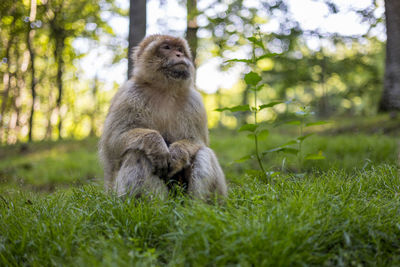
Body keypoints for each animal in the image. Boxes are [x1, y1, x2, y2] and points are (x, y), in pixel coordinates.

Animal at [98, 34, 227, 201]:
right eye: (166, 47)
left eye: (179, 49)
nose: (178, 55)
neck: (165, 89)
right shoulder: (128, 95)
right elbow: (112, 144)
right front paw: (156, 144)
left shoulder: (195, 102)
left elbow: (197, 141)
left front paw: (177, 153)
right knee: (137, 152)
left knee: (203, 153)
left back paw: (197, 206)